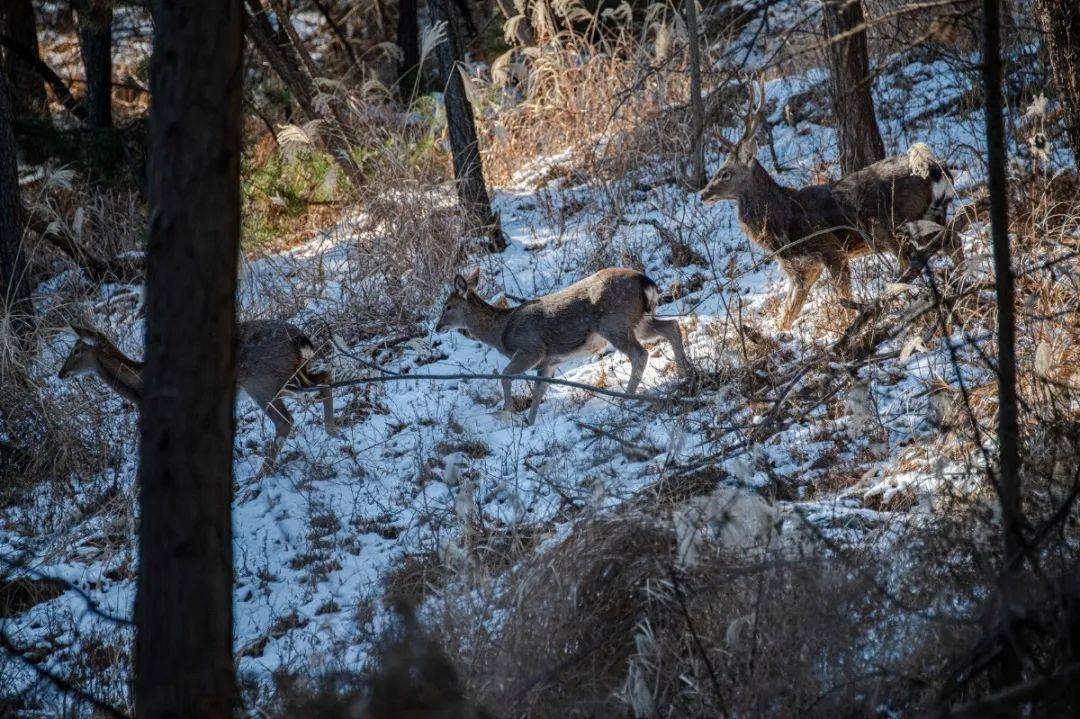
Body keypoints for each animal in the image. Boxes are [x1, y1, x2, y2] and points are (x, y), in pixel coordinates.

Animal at [59, 319, 336, 470]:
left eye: (75, 350)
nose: (61, 373)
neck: (140, 385)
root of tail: (300, 339)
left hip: (263, 382)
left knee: (285, 420)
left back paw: (263, 473)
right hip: (289, 378)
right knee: (325, 378)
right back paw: (333, 430)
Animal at [434, 265, 695, 423]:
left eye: (448, 306)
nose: (437, 328)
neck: (501, 332)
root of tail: (645, 281)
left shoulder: (532, 349)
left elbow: (505, 375)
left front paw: (508, 412)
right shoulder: (549, 362)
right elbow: (538, 391)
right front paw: (529, 423)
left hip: (613, 322)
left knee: (639, 354)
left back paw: (625, 398)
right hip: (639, 319)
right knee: (672, 326)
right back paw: (686, 373)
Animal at [699, 76, 963, 330]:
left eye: (725, 173)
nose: (702, 194)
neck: (784, 219)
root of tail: (936, 167)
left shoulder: (830, 248)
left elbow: (844, 300)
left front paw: (849, 329)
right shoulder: (801, 269)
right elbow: (786, 316)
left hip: (894, 225)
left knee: (916, 260)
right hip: (927, 217)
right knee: (952, 240)